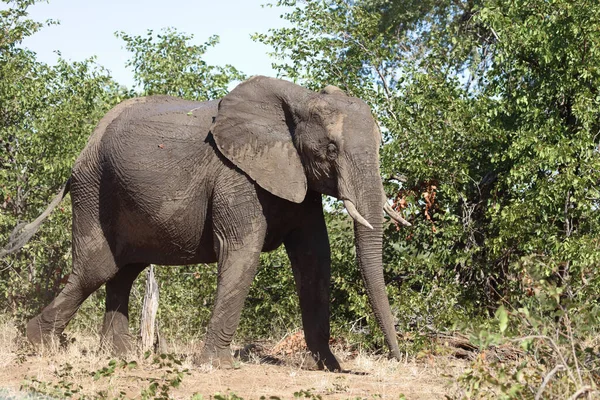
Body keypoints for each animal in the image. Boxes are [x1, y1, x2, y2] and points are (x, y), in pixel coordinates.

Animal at [2, 76, 410, 372]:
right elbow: (242, 252)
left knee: (123, 271)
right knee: (97, 268)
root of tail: (87, 143)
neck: (300, 99)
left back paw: (116, 357)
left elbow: (314, 261)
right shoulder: (235, 175)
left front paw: (327, 367)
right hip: (93, 188)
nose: (397, 359)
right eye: (330, 150)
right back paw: (39, 345)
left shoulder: (298, 180)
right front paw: (216, 366)